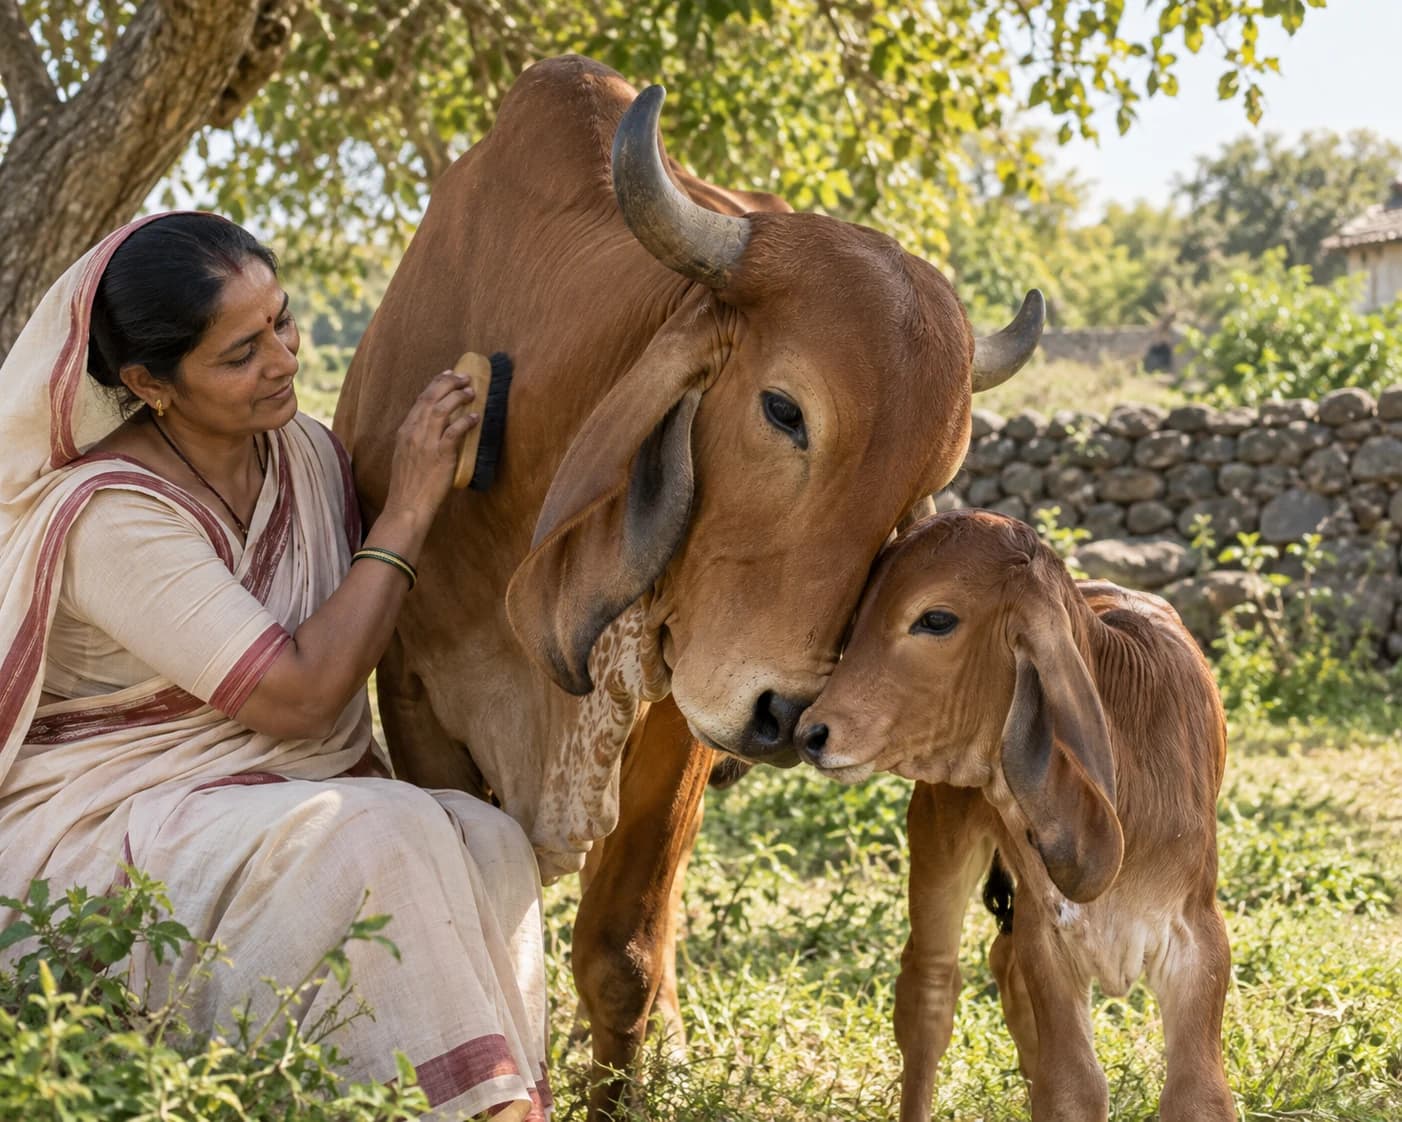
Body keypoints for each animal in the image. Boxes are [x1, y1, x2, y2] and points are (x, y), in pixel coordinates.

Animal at [333, 55, 1042, 1116]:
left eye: (931, 475)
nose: (788, 715)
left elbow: (619, 951)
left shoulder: (682, 705)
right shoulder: (415, 689)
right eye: (784, 409)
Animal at [795, 510, 1234, 1122]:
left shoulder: (1197, 935)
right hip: (940, 843)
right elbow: (1074, 1085)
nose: (811, 733)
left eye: (936, 619)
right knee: (930, 991)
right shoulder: (1047, 941)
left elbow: (1197, 1093)